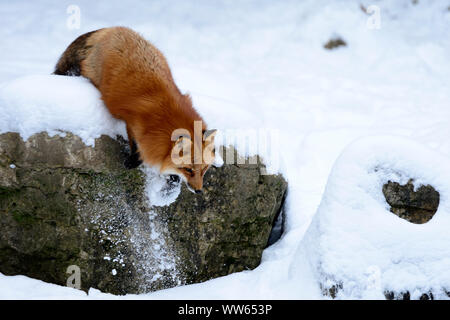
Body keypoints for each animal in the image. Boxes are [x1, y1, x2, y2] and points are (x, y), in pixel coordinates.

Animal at [54, 26, 216, 192]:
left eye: (204, 169)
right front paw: (133, 161)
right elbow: (136, 144)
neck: (166, 110)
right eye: (189, 170)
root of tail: (112, 29)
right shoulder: (134, 122)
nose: (199, 190)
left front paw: (173, 177)